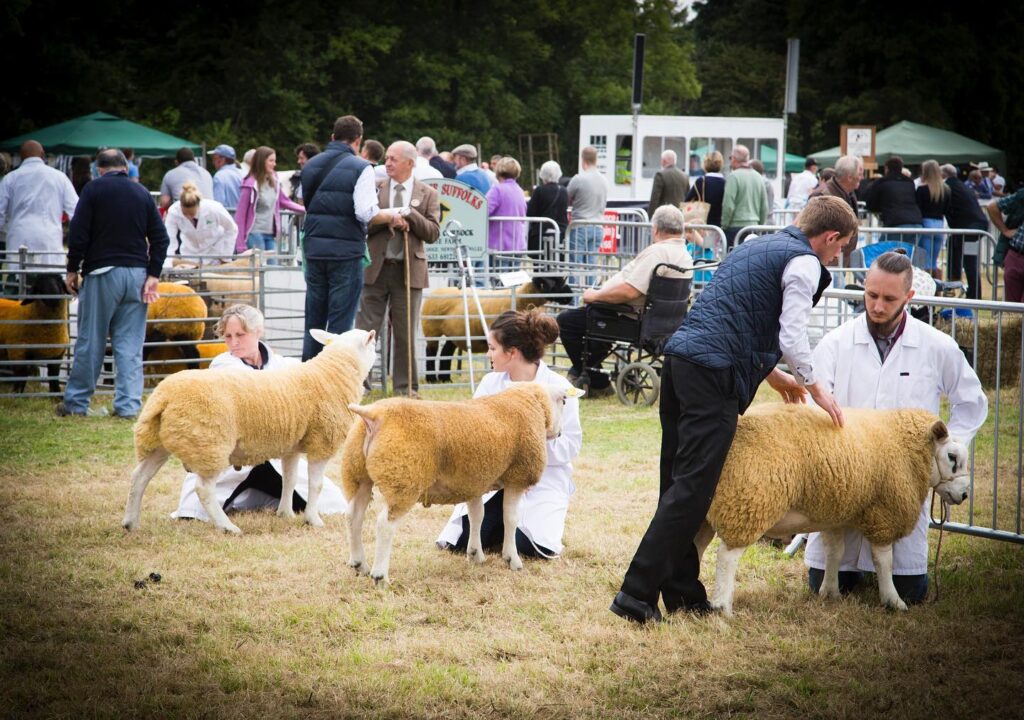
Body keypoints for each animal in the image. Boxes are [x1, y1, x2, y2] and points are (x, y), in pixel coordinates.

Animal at [123, 327, 378, 536]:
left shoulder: (292, 445)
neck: (332, 373)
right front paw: (313, 520)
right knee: (203, 489)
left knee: (139, 477)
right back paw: (227, 527)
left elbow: (289, 479)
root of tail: (164, 396)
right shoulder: (322, 441)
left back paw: (130, 523)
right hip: (209, 444)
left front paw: (285, 514)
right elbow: (316, 485)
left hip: (160, 441)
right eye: (374, 344)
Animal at [339, 383, 585, 585]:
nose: (560, 432)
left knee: (354, 516)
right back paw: (380, 576)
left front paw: (476, 554)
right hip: (403, 479)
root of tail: (373, 414)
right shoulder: (517, 478)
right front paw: (512, 560)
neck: (533, 405)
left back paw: (359, 564)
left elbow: (477, 516)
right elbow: (511, 518)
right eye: (564, 401)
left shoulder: (474, 481)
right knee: (384, 525)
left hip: (357, 474)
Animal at [692, 403, 970, 618]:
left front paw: (830, 592)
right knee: (727, 556)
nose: (965, 495)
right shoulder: (883, 513)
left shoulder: (836, 514)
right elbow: (884, 561)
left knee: (694, 547)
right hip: (748, 502)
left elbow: (835, 552)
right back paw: (722, 607)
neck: (906, 447)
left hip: (709, 512)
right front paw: (893, 600)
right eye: (952, 457)